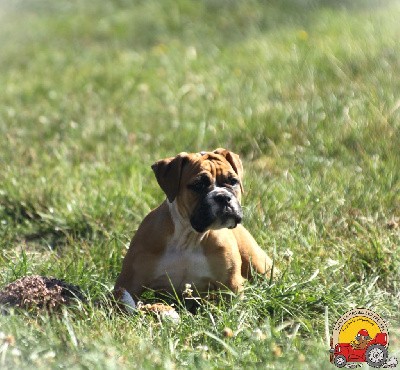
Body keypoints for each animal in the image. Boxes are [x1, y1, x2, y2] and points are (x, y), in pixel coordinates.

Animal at [114, 149, 274, 302]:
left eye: (233, 181)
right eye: (198, 185)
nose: (223, 197)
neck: (189, 237)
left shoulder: (231, 285)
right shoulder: (129, 283)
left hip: (258, 263)